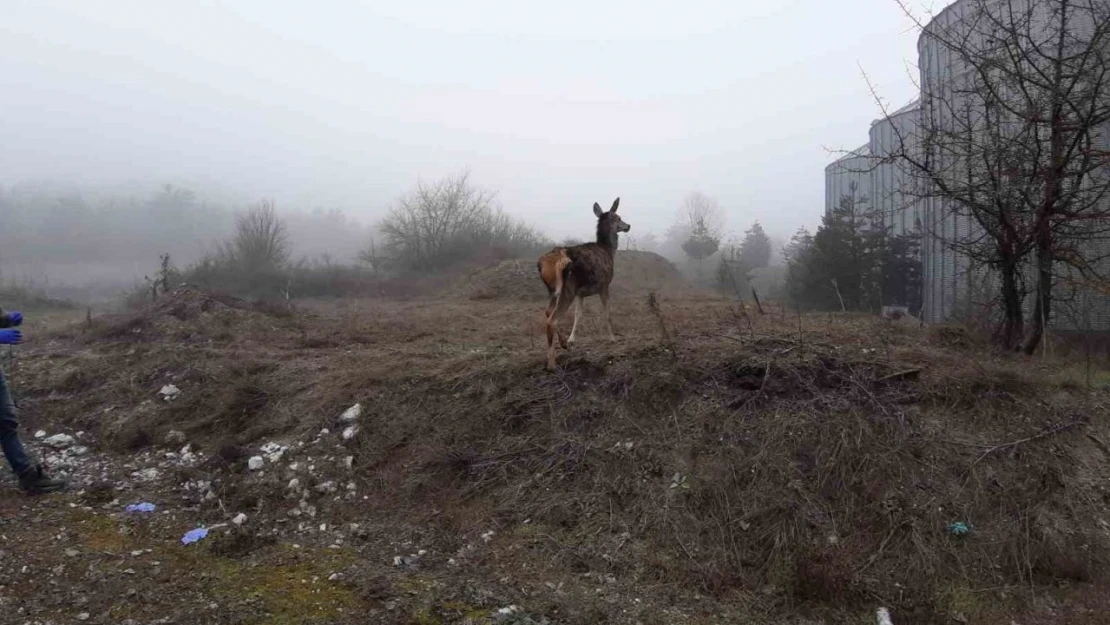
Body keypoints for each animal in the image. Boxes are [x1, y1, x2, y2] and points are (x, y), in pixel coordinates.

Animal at [539, 197, 634, 368]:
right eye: (618, 217)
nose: (628, 225)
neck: (609, 250)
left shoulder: (580, 293)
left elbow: (578, 315)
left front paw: (571, 339)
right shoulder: (604, 285)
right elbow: (607, 313)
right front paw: (613, 338)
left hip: (553, 289)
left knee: (548, 311)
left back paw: (563, 343)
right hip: (567, 288)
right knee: (551, 320)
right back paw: (551, 363)